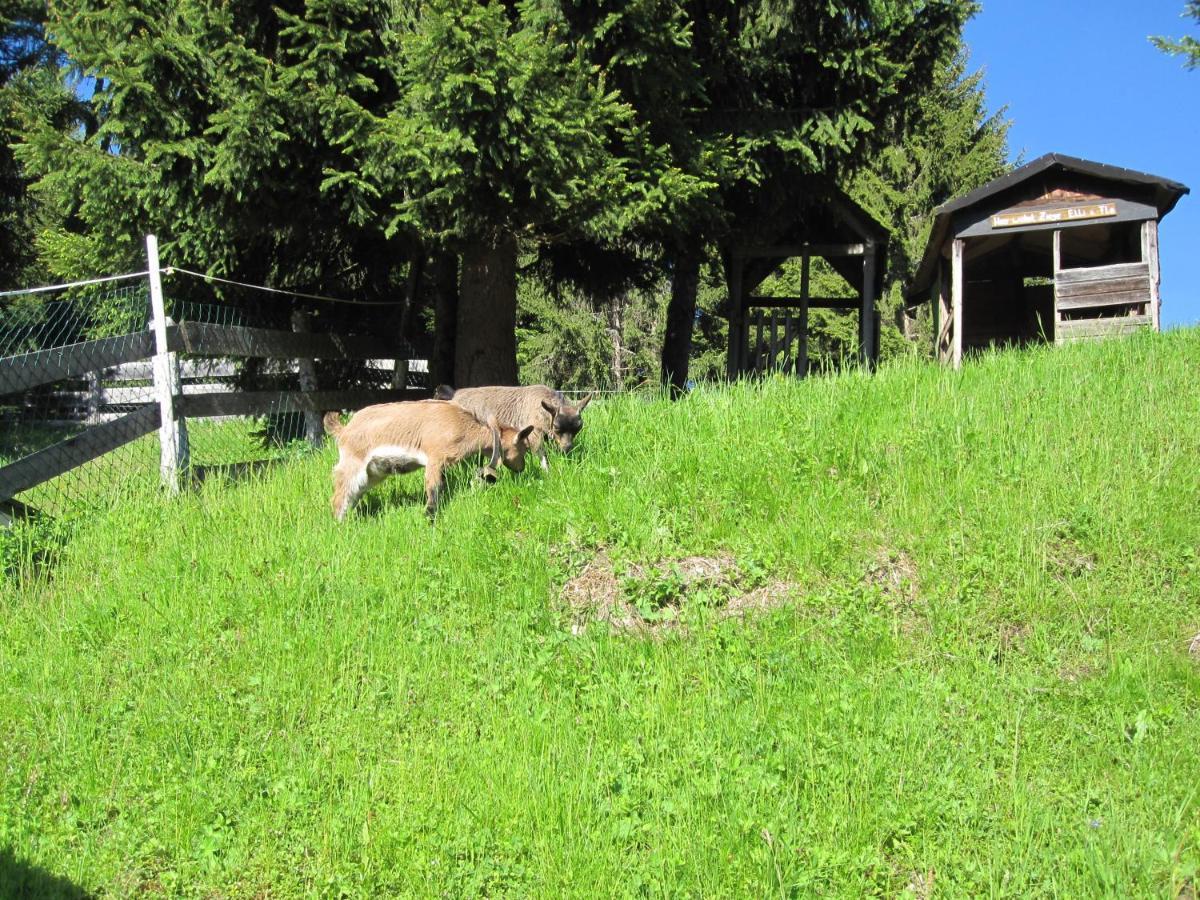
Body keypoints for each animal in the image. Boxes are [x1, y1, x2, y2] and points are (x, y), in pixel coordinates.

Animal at [326, 403, 537, 520]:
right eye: (524, 447)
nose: (522, 468)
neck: (464, 426)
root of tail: (344, 430)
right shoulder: (435, 458)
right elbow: (434, 489)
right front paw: (429, 517)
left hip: (372, 473)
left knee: (352, 495)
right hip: (352, 465)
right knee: (338, 498)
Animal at [439, 386, 592, 472]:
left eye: (578, 428)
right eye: (556, 427)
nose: (567, 448)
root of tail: (454, 395)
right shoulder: (534, 432)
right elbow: (541, 454)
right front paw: (547, 472)